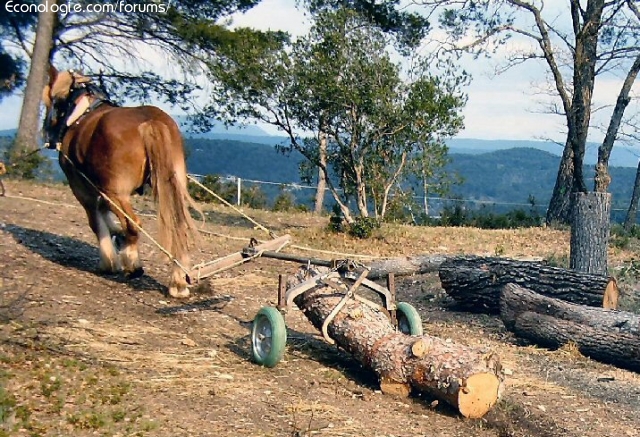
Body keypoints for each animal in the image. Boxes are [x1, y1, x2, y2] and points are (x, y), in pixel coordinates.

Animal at [42, 65, 199, 296]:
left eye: (52, 102)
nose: (46, 134)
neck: (81, 113)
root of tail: (150, 121)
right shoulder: (100, 188)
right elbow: (106, 216)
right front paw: (117, 235)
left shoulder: (83, 189)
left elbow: (96, 222)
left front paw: (108, 261)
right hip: (171, 185)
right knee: (177, 226)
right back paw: (178, 281)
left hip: (116, 192)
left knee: (132, 224)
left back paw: (132, 262)